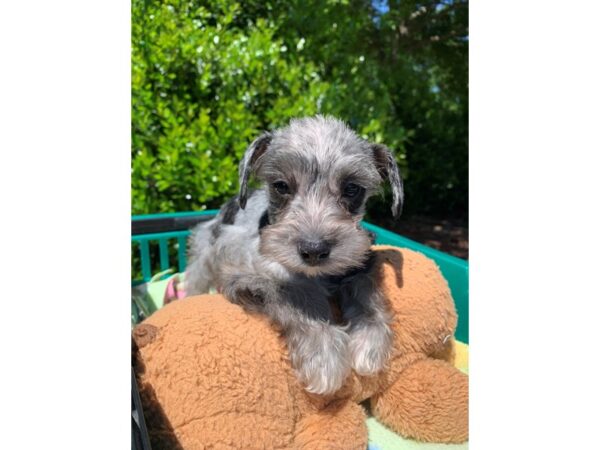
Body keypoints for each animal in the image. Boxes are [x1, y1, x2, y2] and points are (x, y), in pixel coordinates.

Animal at [186, 115, 404, 394]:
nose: (314, 250)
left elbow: (367, 291)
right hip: (203, 256)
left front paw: (370, 340)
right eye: (281, 186)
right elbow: (292, 296)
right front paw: (323, 354)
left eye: (352, 188)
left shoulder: (360, 261)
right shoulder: (244, 277)